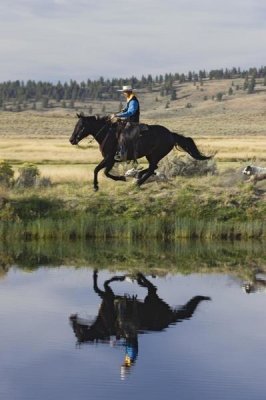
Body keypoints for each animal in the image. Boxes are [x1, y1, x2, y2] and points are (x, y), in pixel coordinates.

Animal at [69, 115, 211, 191]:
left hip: (155, 154)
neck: (107, 134)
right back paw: (138, 176)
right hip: (150, 155)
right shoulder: (111, 160)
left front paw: (97, 186)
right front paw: (120, 178)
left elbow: (99, 170)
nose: (71, 140)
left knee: (152, 168)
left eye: (80, 126)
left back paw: (138, 182)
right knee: (152, 168)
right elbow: (103, 171)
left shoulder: (109, 158)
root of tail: (171, 134)